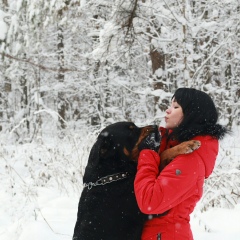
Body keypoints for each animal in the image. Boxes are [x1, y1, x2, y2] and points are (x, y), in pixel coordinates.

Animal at [73, 123, 201, 239]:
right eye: (131, 131)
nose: (155, 126)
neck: (111, 176)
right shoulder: (150, 210)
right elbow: (162, 154)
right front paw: (187, 145)